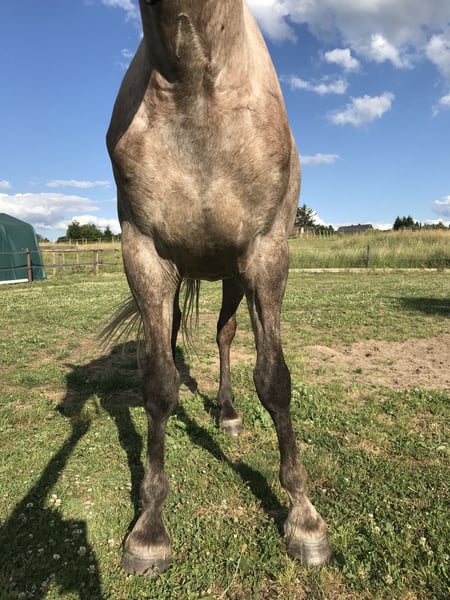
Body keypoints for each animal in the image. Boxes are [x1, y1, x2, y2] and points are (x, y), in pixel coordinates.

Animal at [106, 0, 332, 576]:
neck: (192, 86)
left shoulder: (266, 253)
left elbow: (274, 380)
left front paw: (304, 519)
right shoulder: (144, 255)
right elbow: (159, 384)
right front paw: (149, 529)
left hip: (235, 276)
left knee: (227, 335)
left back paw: (227, 414)